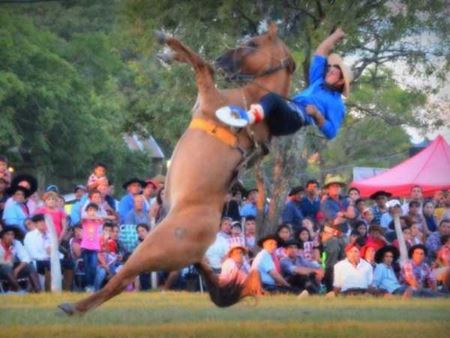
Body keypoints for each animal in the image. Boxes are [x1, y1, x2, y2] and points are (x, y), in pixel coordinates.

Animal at [58, 23, 294, 314]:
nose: (224, 60)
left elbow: (202, 64)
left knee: (120, 280)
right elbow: (199, 63)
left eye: (252, 44)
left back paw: (75, 307)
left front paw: (167, 41)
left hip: (150, 249)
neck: (252, 101)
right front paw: (170, 55)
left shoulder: (208, 91)